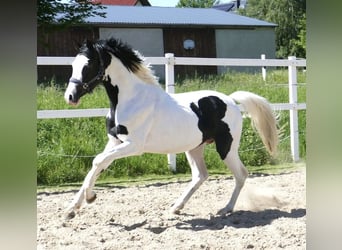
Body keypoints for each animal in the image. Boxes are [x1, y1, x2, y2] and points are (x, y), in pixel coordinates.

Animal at [64, 37, 278, 219]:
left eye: (88, 65)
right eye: (73, 65)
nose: (70, 97)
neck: (131, 100)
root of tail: (231, 100)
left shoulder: (134, 146)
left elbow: (98, 161)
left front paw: (89, 198)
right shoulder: (115, 142)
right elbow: (98, 164)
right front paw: (72, 208)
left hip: (227, 147)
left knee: (241, 174)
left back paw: (226, 209)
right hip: (195, 147)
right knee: (201, 175)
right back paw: (176, 207)